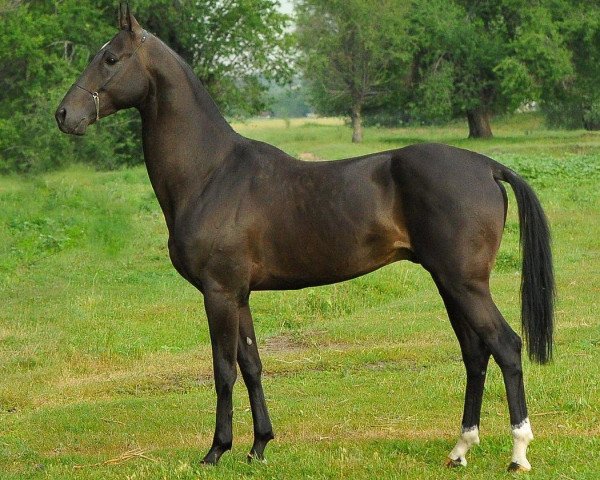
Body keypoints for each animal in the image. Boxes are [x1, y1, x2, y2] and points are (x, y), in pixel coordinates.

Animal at [55, 6, 552, 472]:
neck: (211, 172)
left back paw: (518, 453)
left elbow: (223, 370)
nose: (63, 115)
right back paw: (460, 449)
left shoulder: (219, 293)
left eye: (110, 58)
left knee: (506, 346)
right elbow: (252, 365)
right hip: (449, 283)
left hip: (465, 284)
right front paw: (258, 447)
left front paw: (216, 451)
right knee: (475, 353)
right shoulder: (239, 294)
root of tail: (487, 166)